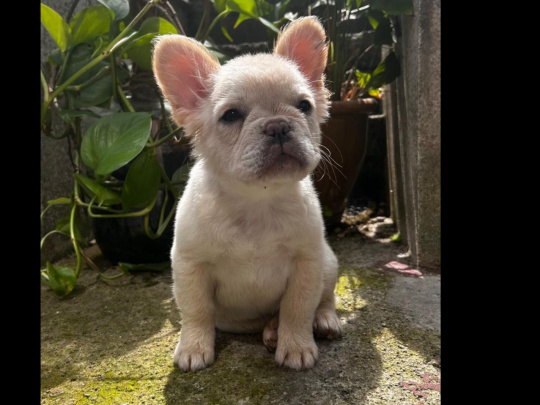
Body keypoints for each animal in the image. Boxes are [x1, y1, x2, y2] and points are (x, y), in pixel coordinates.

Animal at [154, 15, 342, 370]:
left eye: (304, 106)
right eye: (230, 116)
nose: (278, 125)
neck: (256, 201)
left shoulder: (307, 262)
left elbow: (298, 307)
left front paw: (296, 345)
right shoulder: (190, 266)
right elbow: (196, 311)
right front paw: (194, 347)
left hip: (328, 263)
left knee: (323, 298)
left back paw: (319, 322)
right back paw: (270, 330)